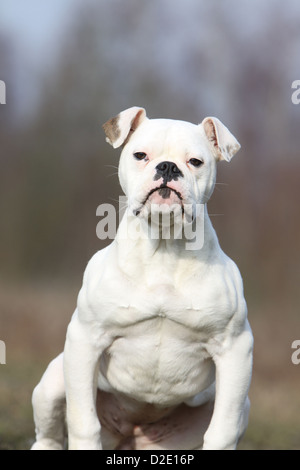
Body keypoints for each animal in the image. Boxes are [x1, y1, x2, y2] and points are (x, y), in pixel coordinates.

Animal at [31, 107, 253, 452]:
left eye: (195, 161)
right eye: (141, 155)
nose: (168, 166)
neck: (163, 247)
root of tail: (129, 435)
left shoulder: (235, 348)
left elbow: (222, 429)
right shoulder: (84, 339)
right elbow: (83, 421)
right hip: (55, 379)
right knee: (50, 432)